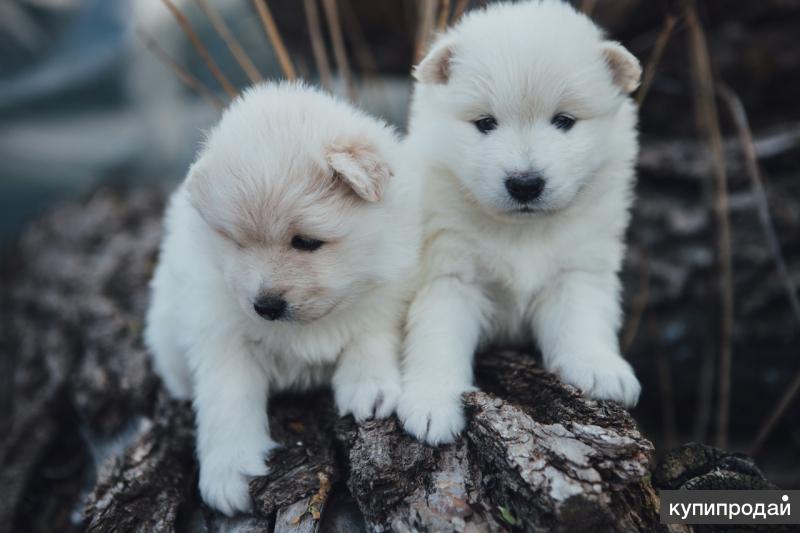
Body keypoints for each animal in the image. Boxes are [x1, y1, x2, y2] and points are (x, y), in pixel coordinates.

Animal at [145, 84, 418, 516]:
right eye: (237, 242)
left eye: (305, 241)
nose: (266, 307)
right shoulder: (220, 332)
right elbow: (226, 401)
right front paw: (230, 471)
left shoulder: (388, 285)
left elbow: (370, 332)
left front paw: (368, 384)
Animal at [398, 0, 644, 444]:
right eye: (485, 123)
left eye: (564, 120)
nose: (525, 184)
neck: (521, 231)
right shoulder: (449, 273)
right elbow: (437, 336)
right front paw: (431, 403)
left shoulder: (579, 266)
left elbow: (582, 318)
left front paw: (599, 367)